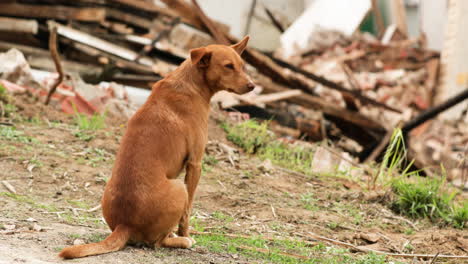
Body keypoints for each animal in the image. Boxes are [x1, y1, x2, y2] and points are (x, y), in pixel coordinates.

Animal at [59, 35, 256, 258]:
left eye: (241, 65)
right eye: (228, 66)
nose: (252, 86)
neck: (191, 83)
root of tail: (124, 225)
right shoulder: (195, 164)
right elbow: (187, 214)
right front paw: (185, 234)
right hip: (179, 188)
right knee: (158, 242)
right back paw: (182, 240)